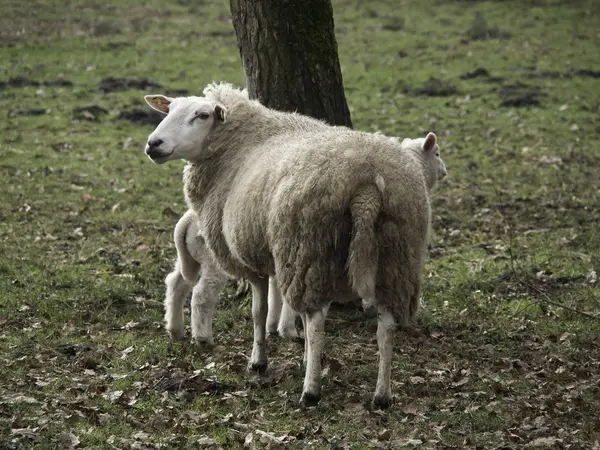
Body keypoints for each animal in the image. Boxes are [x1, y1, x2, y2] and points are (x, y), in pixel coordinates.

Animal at [164, 209, 298, 342]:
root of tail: (187, 221)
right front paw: (288, 330)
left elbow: (276, 288)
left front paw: (272, 325)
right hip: (212, 260)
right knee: (201, 294)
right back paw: (203, 338)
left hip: (189, 259)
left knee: (176, 284)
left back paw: (175, 330)